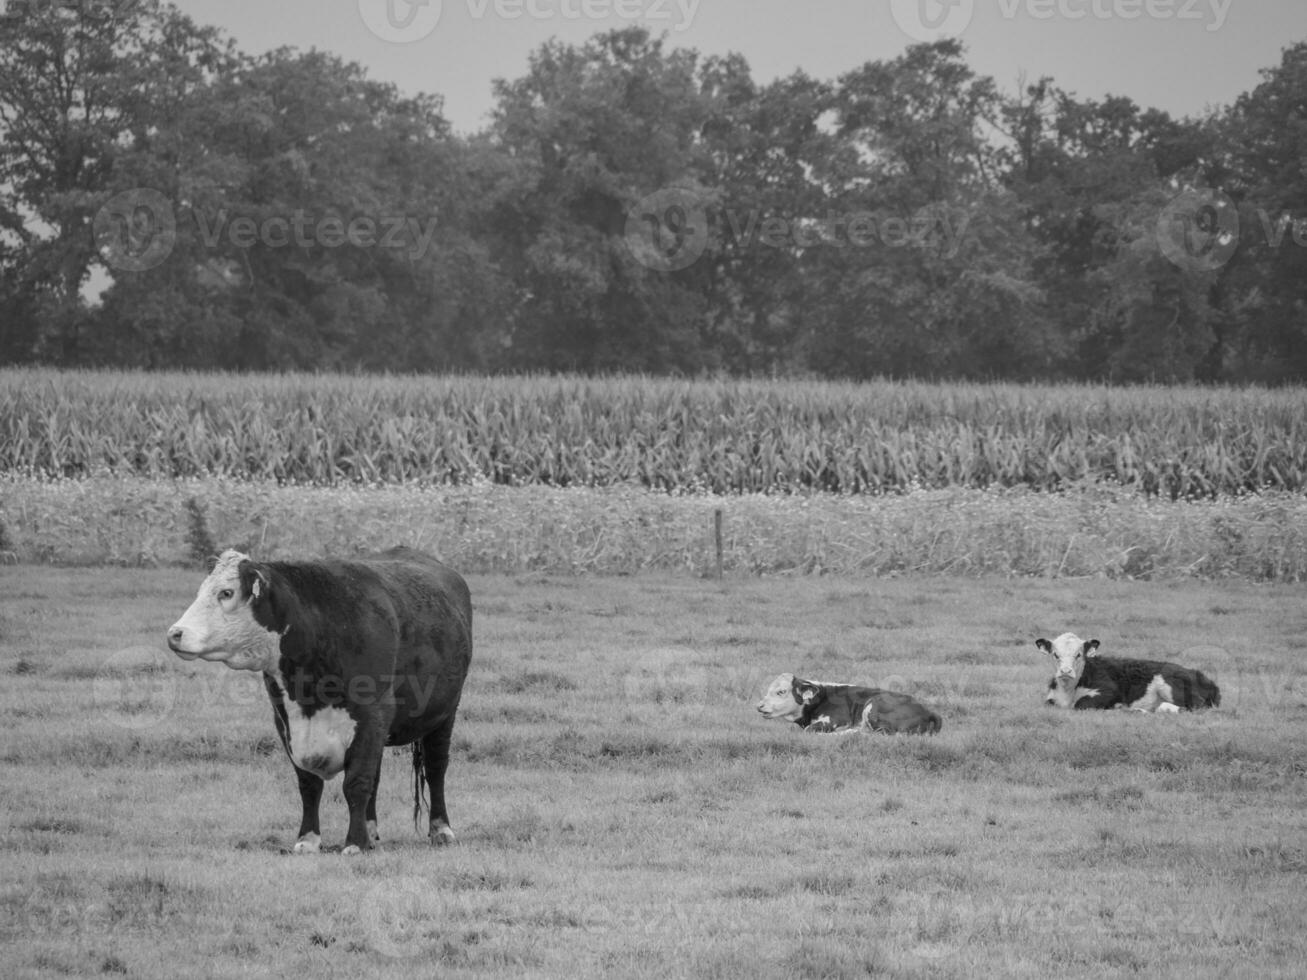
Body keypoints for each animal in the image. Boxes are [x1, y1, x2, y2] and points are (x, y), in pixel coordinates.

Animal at [163, 548, 470, 857]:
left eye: (226, 592)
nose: (175, 634)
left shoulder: (372, 716)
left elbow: (356, 782)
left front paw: (354, 842)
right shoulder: (286, 720)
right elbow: (309, 785)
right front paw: (309, 838)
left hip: (445, 714)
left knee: (435, 768)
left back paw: (441, 829)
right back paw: (371, 831)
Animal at [758, 674, 941, 736]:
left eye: (781, 691)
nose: (759, 706)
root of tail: (927, 710)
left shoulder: (835, 719)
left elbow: (810, 730)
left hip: (873, 705)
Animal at [1035, 637, 1218, 716]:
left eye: (1078, 655)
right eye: (1055, 655)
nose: (1065, 671)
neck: (1068, 691)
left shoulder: (1109, 691)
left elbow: (1081, 704)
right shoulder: (1050, 699)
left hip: (1172, 686)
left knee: (1196, 706)